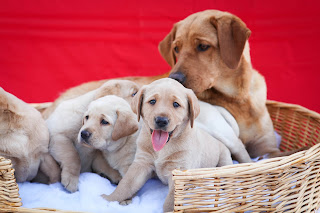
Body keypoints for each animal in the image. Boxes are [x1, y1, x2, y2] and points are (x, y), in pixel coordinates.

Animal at [102, 78, 232, 211]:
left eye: (176, 104)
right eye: (152, 101)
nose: (161, 120)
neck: (162, 148)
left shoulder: (178, 171)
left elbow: (171, 201)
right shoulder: (141, 163)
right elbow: (126, 184)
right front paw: (108, 199)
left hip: (224, 158)